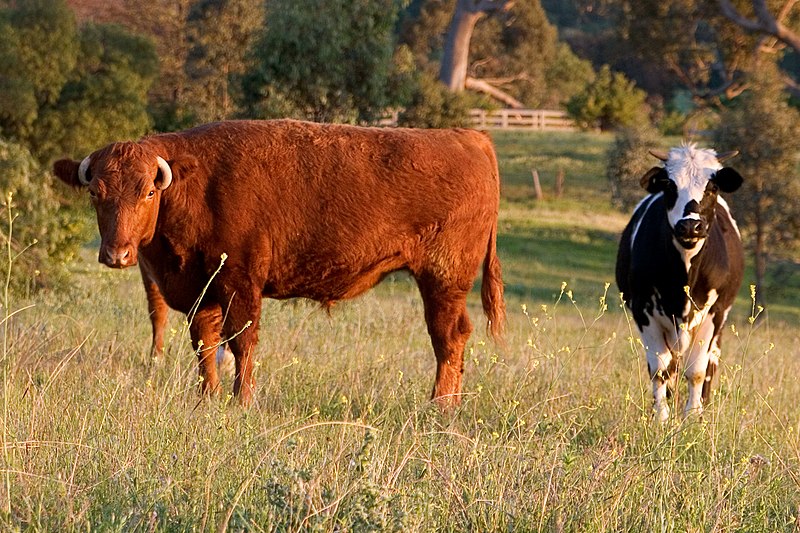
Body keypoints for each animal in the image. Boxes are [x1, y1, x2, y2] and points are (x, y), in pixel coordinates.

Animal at [53, 118, 504, 406]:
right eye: (96, 192)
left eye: (148, 191)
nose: (117, 254)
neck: (192, 183)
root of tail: (471, 138)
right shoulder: (202, 292)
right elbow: (206, 343)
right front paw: (207, 397)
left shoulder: (240, 283)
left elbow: (242, 342)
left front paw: (242, 401)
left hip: (442, 281)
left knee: (448, 337)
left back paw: (439, 408)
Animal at [616, 144, 748, 420]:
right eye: (669, 185)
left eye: (713, 186)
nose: (690, 226)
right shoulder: (644, 311)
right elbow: (659, 369)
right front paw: (661, 417)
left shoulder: (714, 312)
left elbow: (697, 370)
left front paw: (693, 416)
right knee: (672, 365)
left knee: (710, 363)